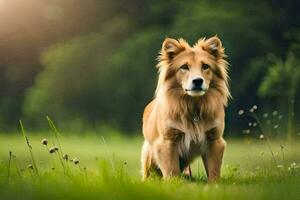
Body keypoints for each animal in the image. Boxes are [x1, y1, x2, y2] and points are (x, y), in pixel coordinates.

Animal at [141, 35, 230, 182]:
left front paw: (214, 185)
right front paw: (174, 184)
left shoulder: (214, 140)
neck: (193, 106)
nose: (198, 81)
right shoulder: (167, 142)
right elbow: (172, 170)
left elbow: (214, 170)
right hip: (149, 154)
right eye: (184, 67)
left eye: (205, 66)